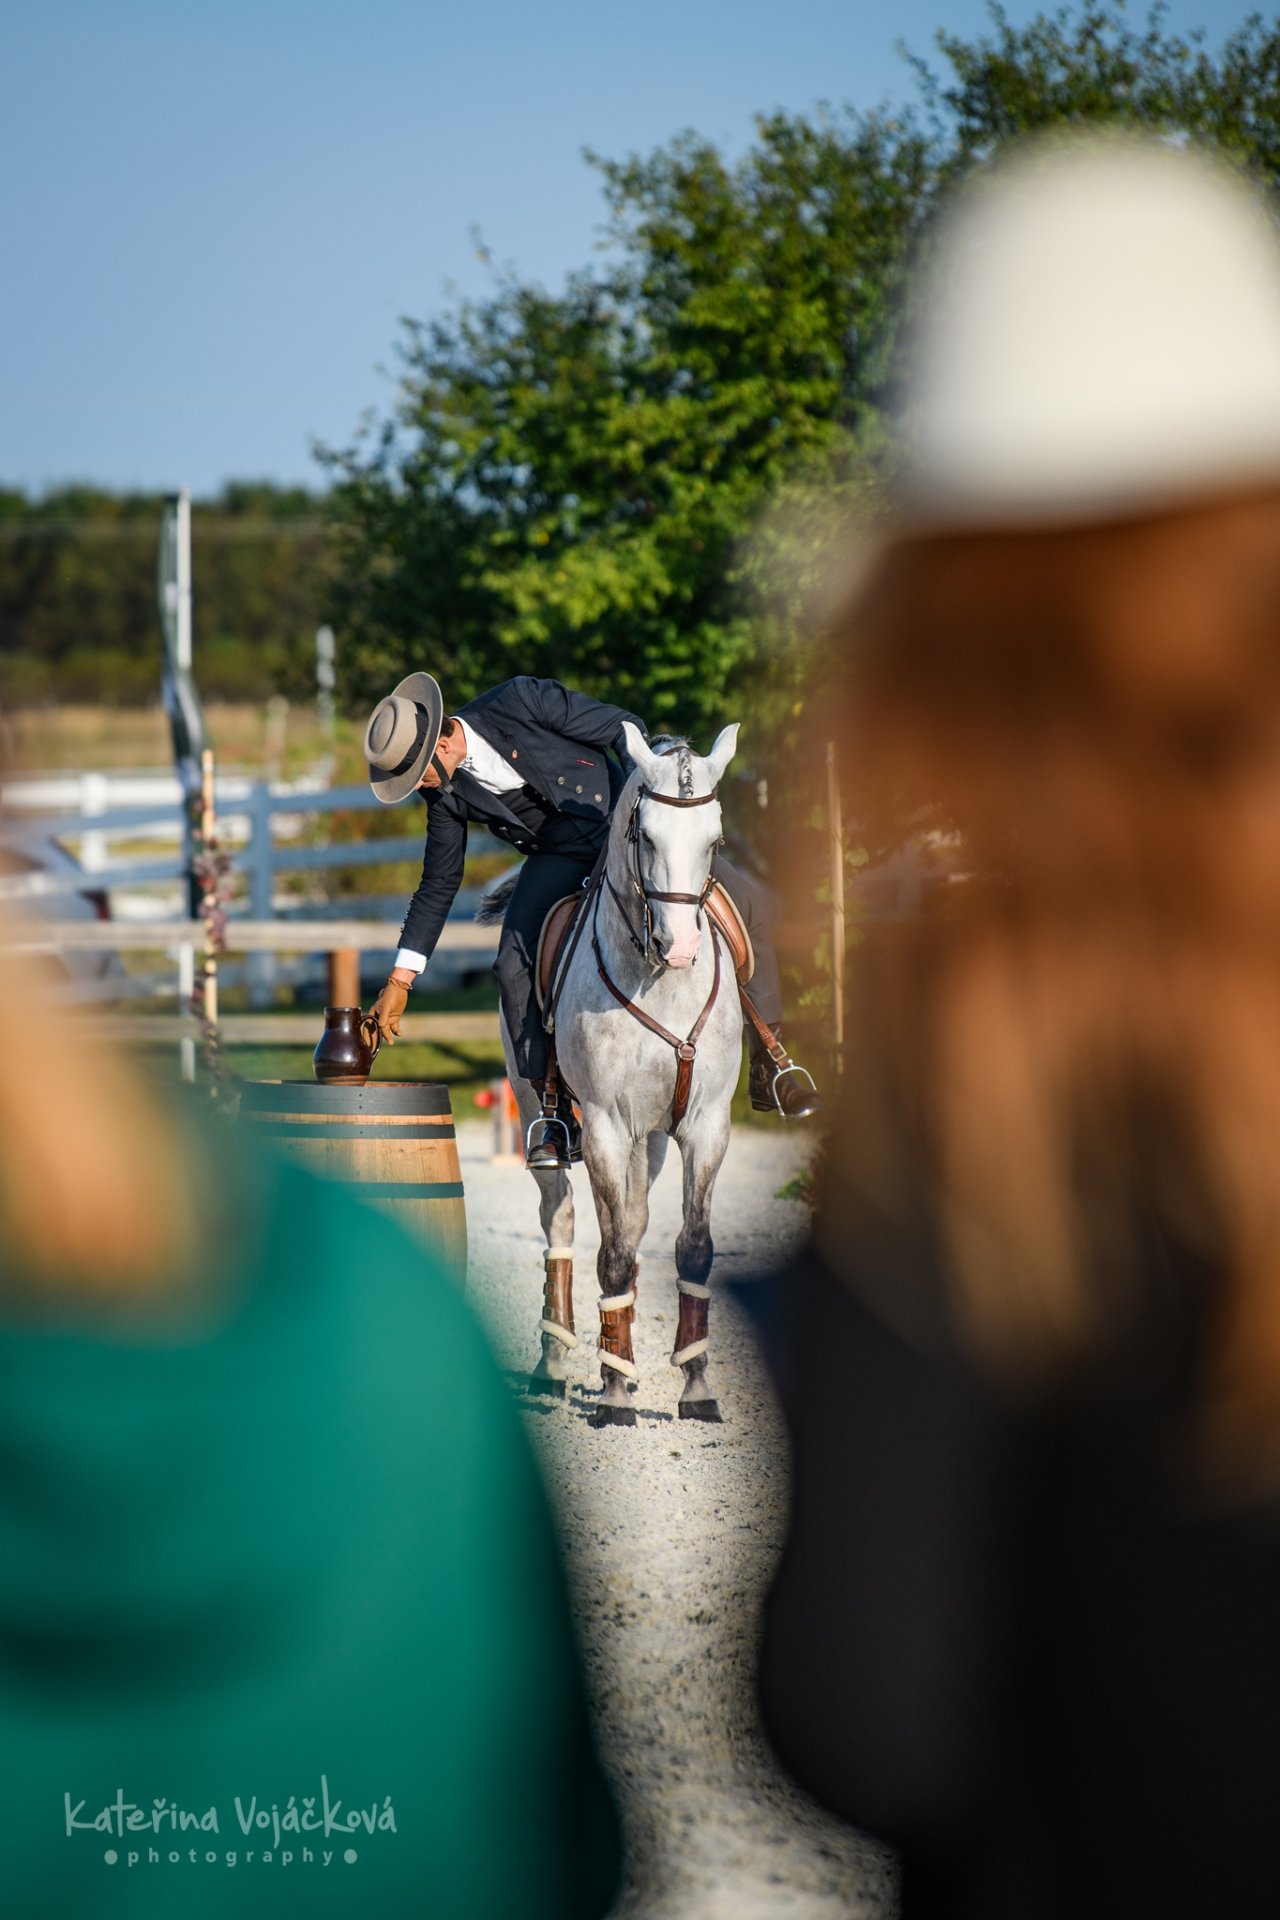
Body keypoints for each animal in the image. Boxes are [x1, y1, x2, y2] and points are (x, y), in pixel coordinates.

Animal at [498, 721, 744, 1428]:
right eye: (647, 837)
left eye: (715, 840)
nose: (681, 948)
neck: (659, 983)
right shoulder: (606, 1127)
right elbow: (608, 1255)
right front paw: (611, 1395)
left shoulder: (703, 1126)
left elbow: (691, 1248)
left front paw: (696, 1384)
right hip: (541, 1114)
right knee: (563, 1222)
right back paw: (559, 1364)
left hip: (651, 1140)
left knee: (632, 1225)